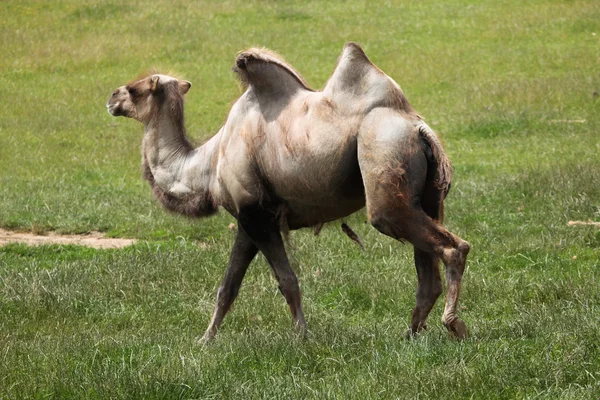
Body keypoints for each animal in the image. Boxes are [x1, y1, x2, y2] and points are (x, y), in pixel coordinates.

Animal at [109, 43, 474, 340]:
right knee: (428, 272)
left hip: (384, 159)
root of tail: (418, 126)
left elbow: (286, 280)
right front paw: (205, 341)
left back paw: (454, 325)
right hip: (425, 193)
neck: (209, 162)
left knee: (449, 245)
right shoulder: (248, 219)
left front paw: (302, 339)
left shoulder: (258, 214)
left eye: (135, 89)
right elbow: (228, 286)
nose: (111, 98)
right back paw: (409, 336)